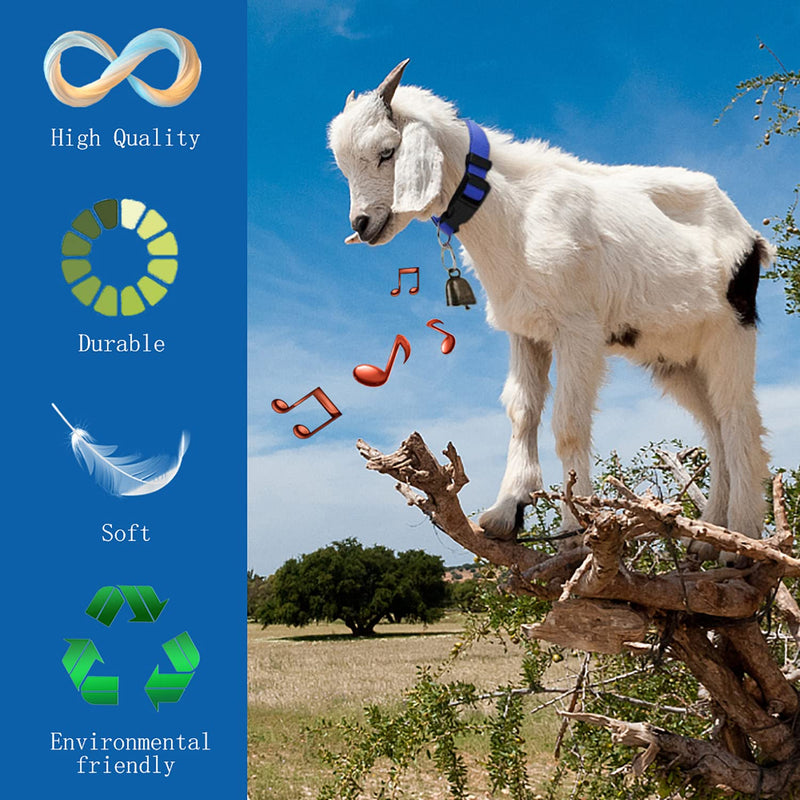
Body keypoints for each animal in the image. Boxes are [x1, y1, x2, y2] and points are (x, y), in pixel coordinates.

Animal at [328, 59, 772, 556]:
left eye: (387, 151)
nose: (362, 224)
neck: (514, 213)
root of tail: (751, 237)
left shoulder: (577, 329)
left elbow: (569, 424)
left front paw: (574, 529)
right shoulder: (526, 330)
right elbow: (522, 411)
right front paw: (506, 511)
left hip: (731, 330)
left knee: (738, 419)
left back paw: (742, 538)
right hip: (676, 356)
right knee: (714, 427)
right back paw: (711, 535)